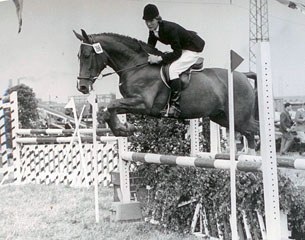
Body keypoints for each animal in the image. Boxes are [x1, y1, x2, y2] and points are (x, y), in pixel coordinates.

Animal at [72, 29, 258, 150]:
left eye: (87, 56)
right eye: (78, 56)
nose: (82, 87)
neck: (135, 65)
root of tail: (244, 77)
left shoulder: (143, 104)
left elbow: (110, 106)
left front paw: (124, 128)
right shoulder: (133, 103)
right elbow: (109, 110)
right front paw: (124, 128)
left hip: (238, 118)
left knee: (254, 132)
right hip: (221, 117)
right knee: (250, 133)